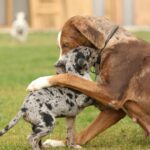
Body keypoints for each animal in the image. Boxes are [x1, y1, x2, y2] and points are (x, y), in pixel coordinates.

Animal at [27, 15, 150, 146]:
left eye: (66, 44)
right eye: (59, 47)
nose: (57, 68)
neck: (110, 43)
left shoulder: (111, 93)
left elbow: (70, 77)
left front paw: (39, 81)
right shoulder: (114, 110)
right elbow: (84, 134)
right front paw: (59, 143)